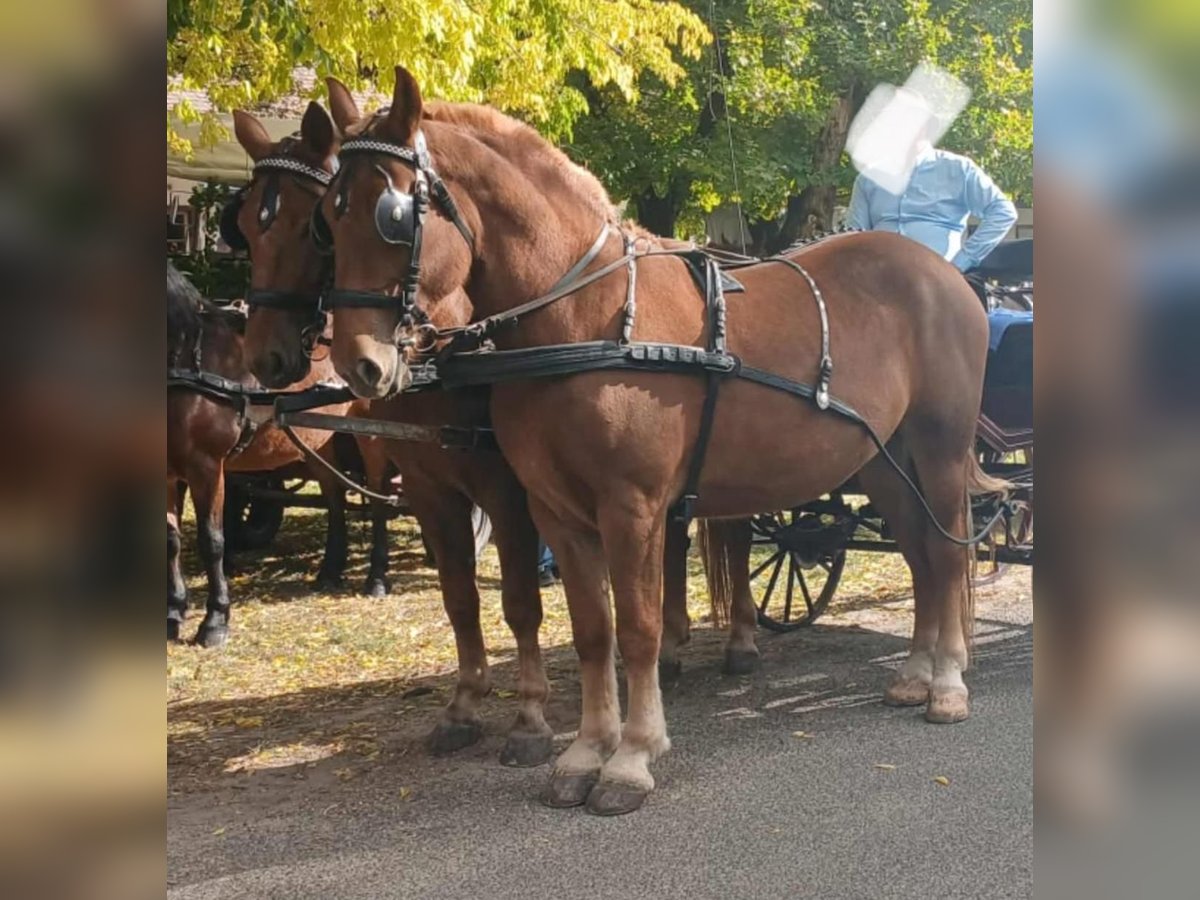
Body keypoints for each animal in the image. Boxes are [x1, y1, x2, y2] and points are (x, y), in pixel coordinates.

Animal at [167, 262, 392, 648]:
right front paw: (173, 615)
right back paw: (330, 569)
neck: (187, 357)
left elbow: (212, 541)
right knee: (335, 496)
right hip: (320, 440)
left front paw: (214, 621)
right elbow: (171, 541)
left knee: (377, 497)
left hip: (370, 432)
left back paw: (376, 577)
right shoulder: (168, 471)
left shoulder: (206, 467)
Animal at [226, 103, 556, 764]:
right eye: (246, 226)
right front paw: (464, 704)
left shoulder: (509, 493)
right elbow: (459, 598)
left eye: (309, 229)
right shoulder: (430, 489)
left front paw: (531, 715)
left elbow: (518, 601)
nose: (266, 358)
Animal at [318, 67, 1000, 816]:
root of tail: (942, 274)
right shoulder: (558, 511)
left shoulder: (632, 506)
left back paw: (947, 683)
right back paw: (915, 673)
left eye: (392, 215)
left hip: (937, 449)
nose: (359, 364)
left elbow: (640, 629)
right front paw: (585, 752)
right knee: (921, 556)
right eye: (330, 212)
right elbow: (593, 632)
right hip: (883, 460)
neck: (587, 316)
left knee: (945, 551)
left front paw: (632, 758)